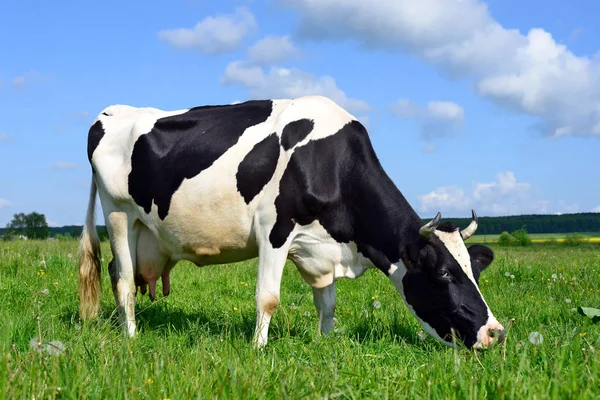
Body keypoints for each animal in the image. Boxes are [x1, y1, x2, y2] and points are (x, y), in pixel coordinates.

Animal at [77, 95, 504, 348]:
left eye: (475, 272)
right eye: (445, 274)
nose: (496, 332)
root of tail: (110, 112)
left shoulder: (320, 250)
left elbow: (327, 304)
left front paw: (325, 344)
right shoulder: (274, 230)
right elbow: (267, 298)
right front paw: (258, 349)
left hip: (145, 232)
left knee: (118, 271)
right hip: (118, 214)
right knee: (124, 280)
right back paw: (131, 338)